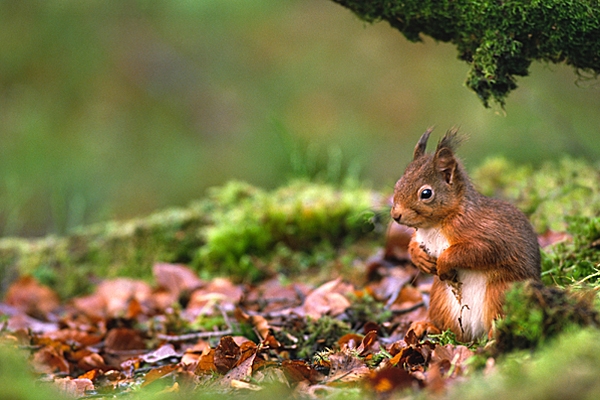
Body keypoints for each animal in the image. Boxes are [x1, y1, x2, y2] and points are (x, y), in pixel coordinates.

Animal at [392, 128, 540, 340]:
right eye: (398, 184)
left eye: (426, 193)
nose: (395, 215)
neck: (434, 225)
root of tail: (474, 332)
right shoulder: (420, 236)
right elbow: (412, 245)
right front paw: (420, 259)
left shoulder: (487, 235)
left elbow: (476, 251)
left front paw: (443, 262)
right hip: (439, 299)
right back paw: (427, 326)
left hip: (501, 291)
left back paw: (494, 337)